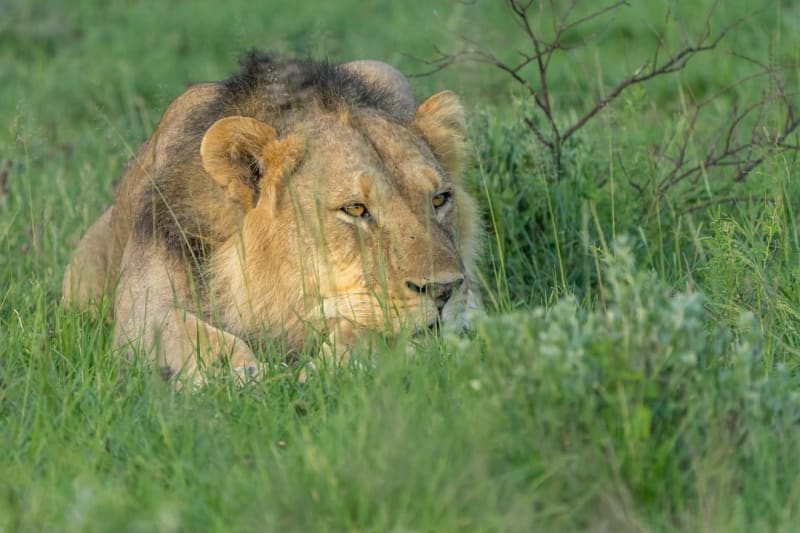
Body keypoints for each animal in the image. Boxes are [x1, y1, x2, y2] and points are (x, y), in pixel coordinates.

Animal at [62, 52, 482, 383]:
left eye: (440, 199)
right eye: (355, 209)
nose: (445, 290)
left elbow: (366, 325)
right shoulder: (139, 314)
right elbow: (186, 332)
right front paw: (244, 376)